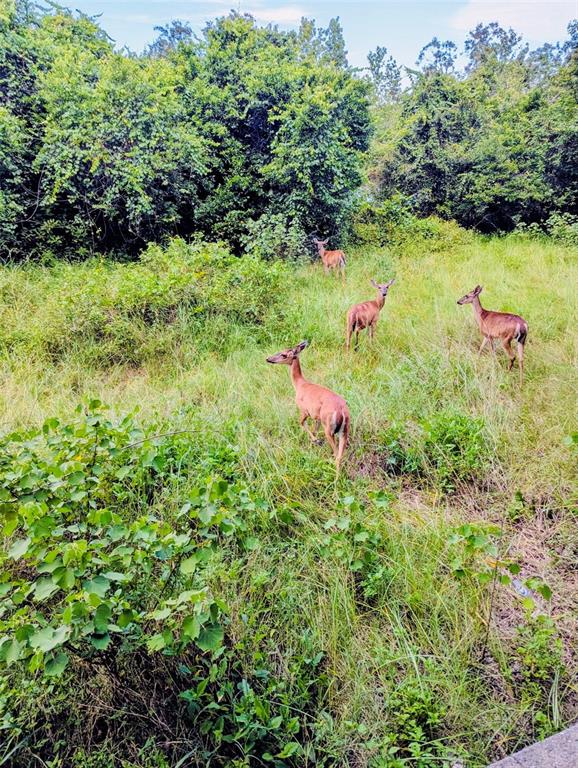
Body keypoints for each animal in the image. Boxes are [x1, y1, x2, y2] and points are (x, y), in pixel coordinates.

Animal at [266, 340, 350, 475]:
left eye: (284, 354)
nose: (268, 359)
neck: (300, 384)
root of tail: (341, 412)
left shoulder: (304, 410)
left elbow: (301, 423)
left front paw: (316, 440)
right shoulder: (317, 417)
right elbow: (314, 429)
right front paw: (314, 441)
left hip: (329, 429)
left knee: (337, 455)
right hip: (344, 430)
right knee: (341, 454)